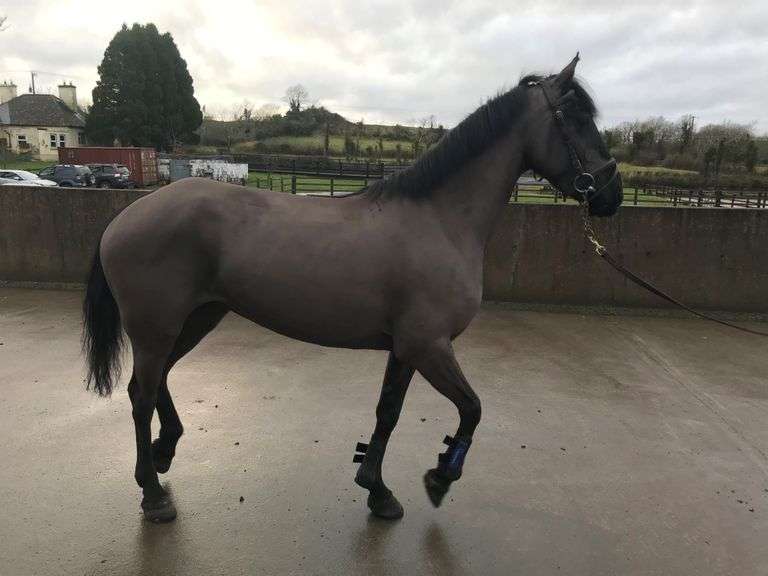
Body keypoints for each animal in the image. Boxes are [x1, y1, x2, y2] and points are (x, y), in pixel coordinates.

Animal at [82, 55, 622, 523]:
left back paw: (163, 452)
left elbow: (389, 413)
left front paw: (377, 489)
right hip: (157, 327)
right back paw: (153, 495)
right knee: (140, 394)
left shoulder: (406, 349)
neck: (439, 220)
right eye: (576, 118)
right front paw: (440, 477)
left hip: (194, 319)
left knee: (156, 384)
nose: (611, 196)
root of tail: (126, 215)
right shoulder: (428, 346)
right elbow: (471, 409)